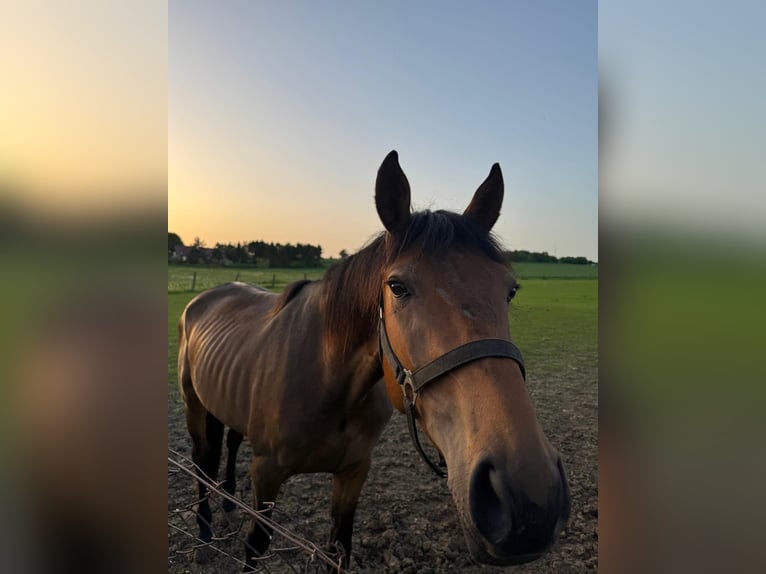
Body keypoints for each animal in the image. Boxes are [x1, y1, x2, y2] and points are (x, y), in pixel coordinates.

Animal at [177, 150, 570, 570]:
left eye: (510, 290)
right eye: (397, 287)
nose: (530, 496)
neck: (328, 382)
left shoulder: (354, 472)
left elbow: (340, 548)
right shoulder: (266, 473)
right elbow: (255, 545)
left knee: (230, 443)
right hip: (194, 406)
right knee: (201, 460)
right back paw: (204, 533)